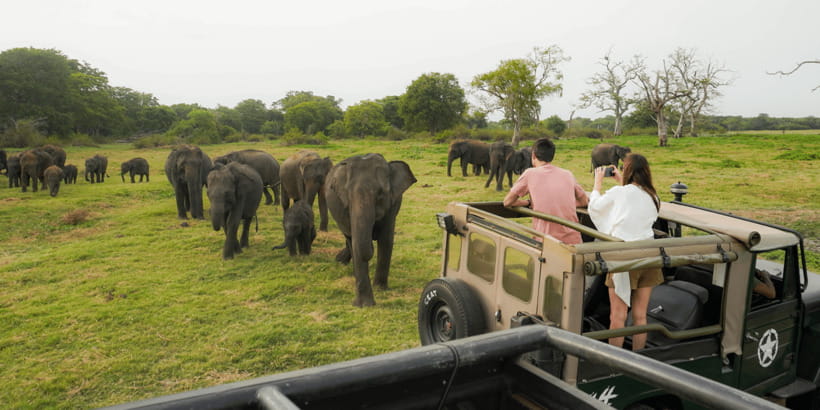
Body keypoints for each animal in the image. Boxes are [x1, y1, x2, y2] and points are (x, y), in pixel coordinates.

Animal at [325, 153, 417, 307]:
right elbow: (356, 242)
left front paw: (380, 288)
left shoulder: (392, 205)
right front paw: (363, 305)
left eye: (380, 194)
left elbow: (386, 240)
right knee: (349, 238)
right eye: (348, 195)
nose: (372, 236)